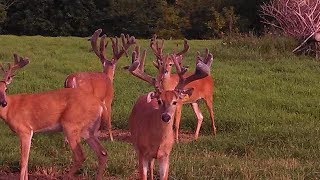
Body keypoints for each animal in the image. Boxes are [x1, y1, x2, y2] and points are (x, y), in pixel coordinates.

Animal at [127, 47, 212, 179]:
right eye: (159, 101)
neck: (158, 143)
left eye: (175, 102)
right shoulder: (142, 153)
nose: (166, 117)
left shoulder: (166, 156)